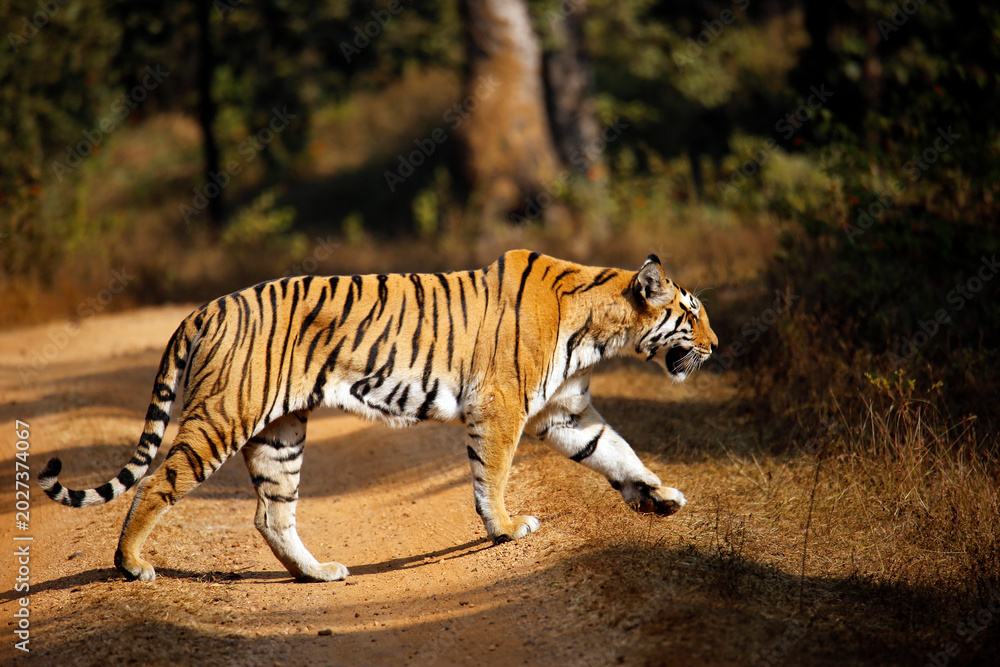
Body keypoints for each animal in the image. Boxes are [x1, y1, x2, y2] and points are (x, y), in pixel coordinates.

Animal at [39, 249, 717, 582]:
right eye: (692, 312)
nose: (718, 345)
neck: (602, 328)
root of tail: (202, 309)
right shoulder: (502, 407)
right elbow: (492, 477)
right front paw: (506, 528)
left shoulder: (564, 412)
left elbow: (618, 452)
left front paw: (660, 498)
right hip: (222, 417)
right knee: (157, 482)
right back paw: (131, 566)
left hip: (280, 433)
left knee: (270, 514)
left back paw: (318, 575)